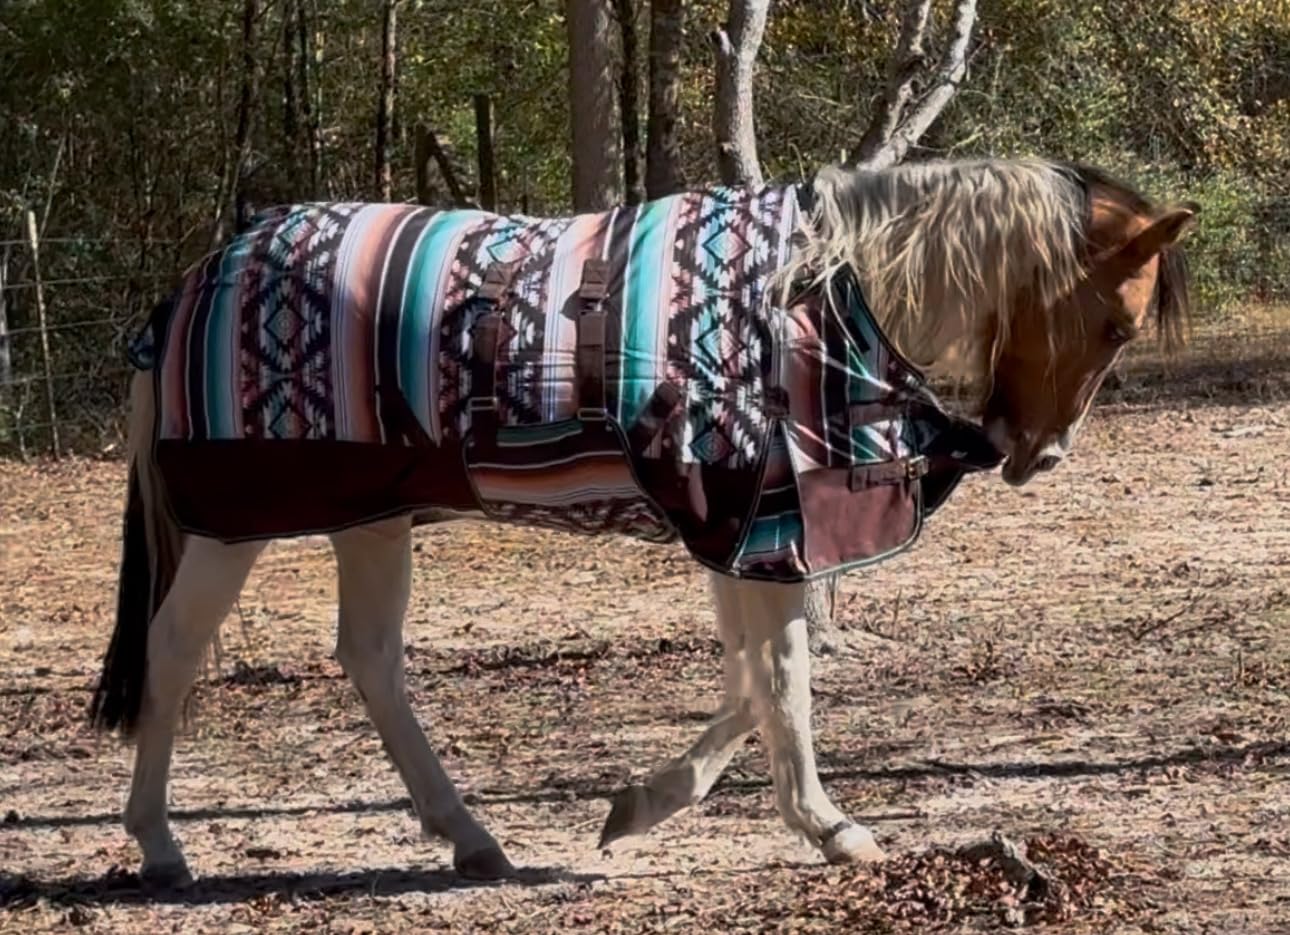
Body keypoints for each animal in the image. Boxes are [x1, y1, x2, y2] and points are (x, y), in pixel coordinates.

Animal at [87, 156, 1195, 885]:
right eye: (1115, 322)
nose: (1037, 453)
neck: (809, 300)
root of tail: (195, 282)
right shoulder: (758, 523)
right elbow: (782, 678)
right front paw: (829, 825)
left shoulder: (744, 532)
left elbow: (755, 682)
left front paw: (642, 805)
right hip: (238, 517)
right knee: (175, 650)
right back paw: (161, 844)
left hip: (371, 509)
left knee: (369, 656)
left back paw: (469, 835)